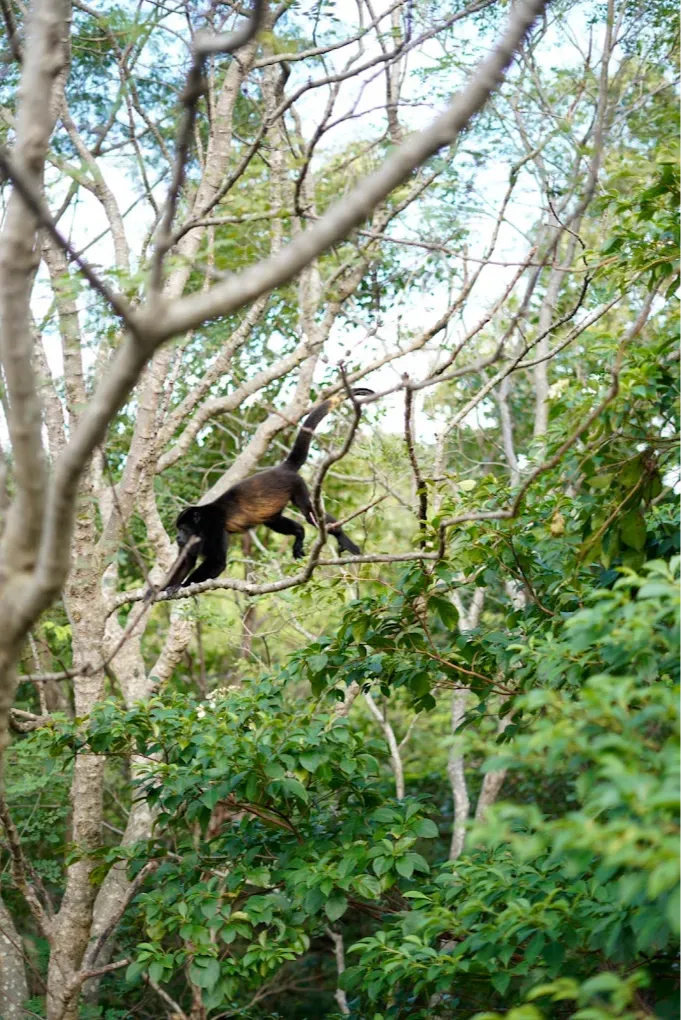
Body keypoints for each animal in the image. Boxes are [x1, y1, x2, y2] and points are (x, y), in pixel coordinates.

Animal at [159, 389, 373, 594]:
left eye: (183, 529)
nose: (178, 538)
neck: (201, 522)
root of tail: (283, 467)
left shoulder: (214, 526)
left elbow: (217, 562)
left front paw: (182, 586)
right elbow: (186, 560)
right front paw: (159, 590)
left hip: (297, 485)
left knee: (309, 512)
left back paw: (341, 537)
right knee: (274, 521)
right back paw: (299, 533)